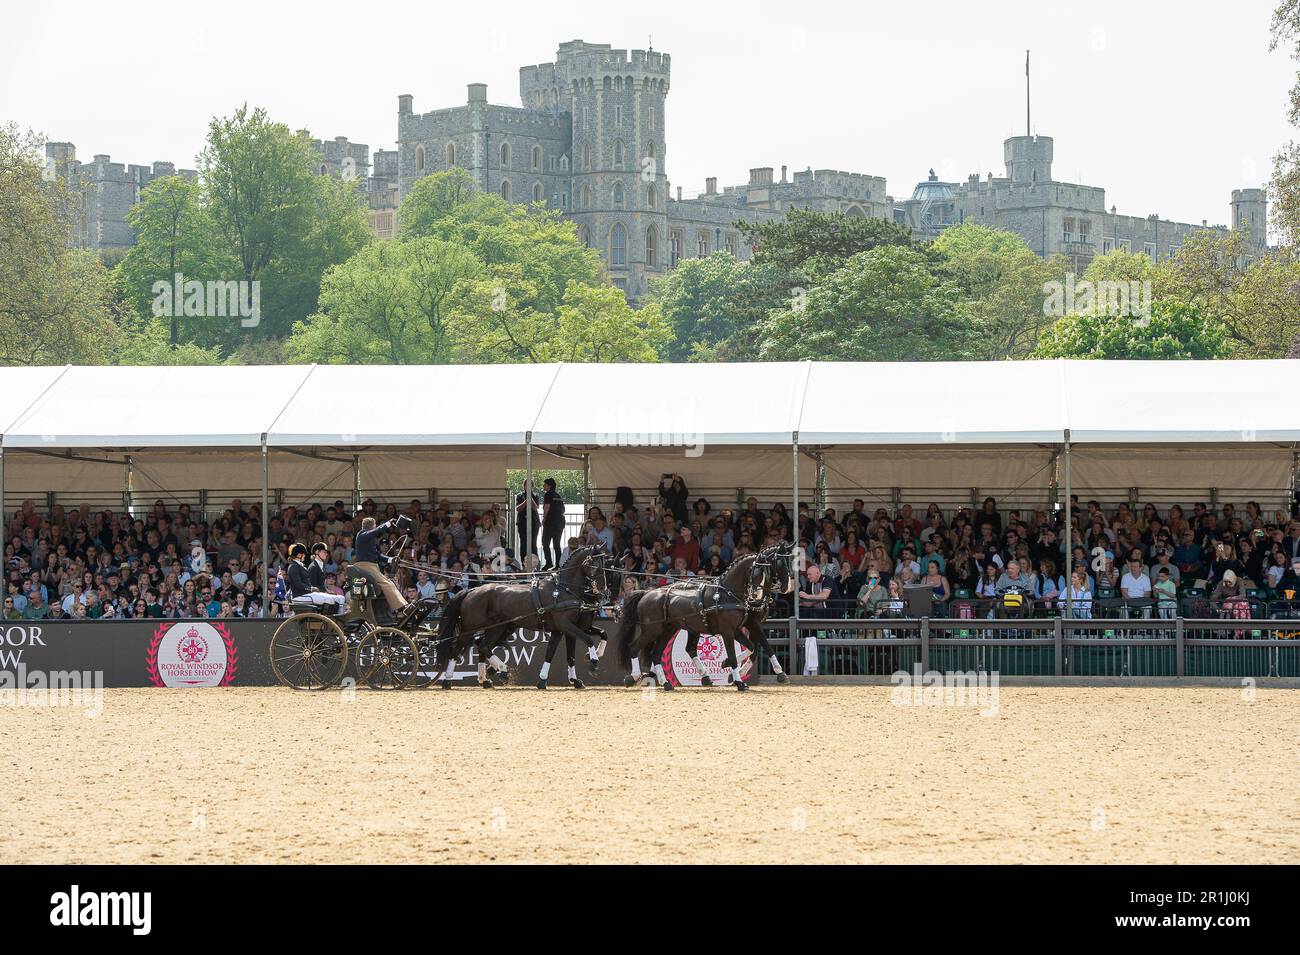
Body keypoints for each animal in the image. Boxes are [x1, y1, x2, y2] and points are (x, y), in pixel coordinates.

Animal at [431, 545, 603, 686]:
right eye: (596, 565)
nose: (602, 590)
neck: (562, 590)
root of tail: (472, 590)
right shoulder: (565, 626)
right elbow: (586, 640)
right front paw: (594, 662)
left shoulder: (564, 629)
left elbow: (561, 654)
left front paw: (566, 680)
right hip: (470, 628)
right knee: (459, 649)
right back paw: (450, 680)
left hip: (497, 628)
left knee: (483, 645)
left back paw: (487, 677)